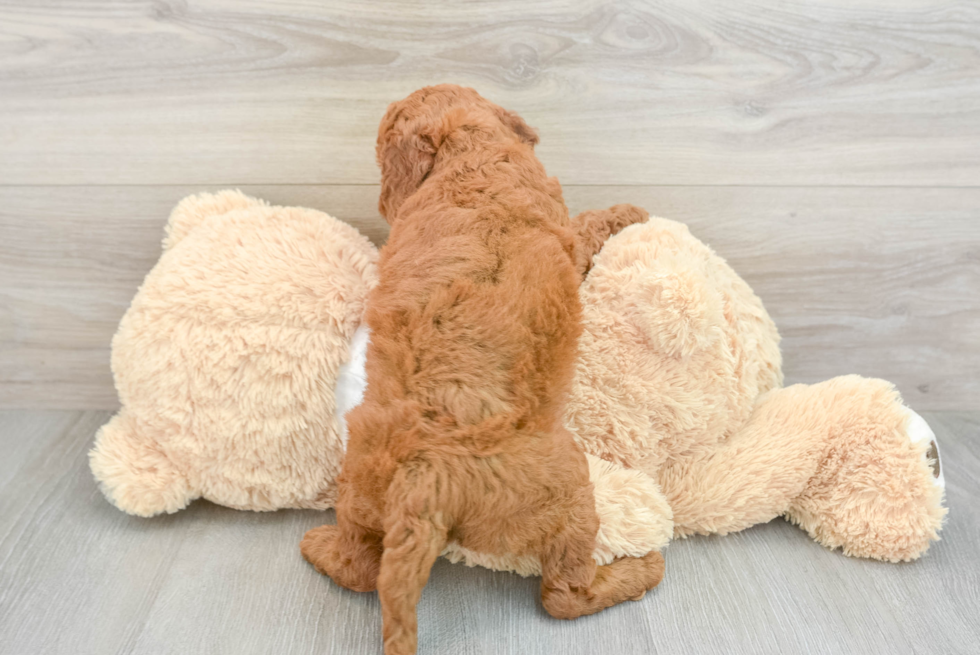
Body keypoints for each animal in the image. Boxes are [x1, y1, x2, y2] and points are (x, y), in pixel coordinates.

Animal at [302, 87, 664, 655]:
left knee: (361, 567)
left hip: (359, 492)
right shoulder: (566, 233)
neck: (466, 153)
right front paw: (627, 211)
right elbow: (587, 226)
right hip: (566, 489)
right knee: (563, 593)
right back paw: (638, 571)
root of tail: (423, 479)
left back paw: (319, 547)